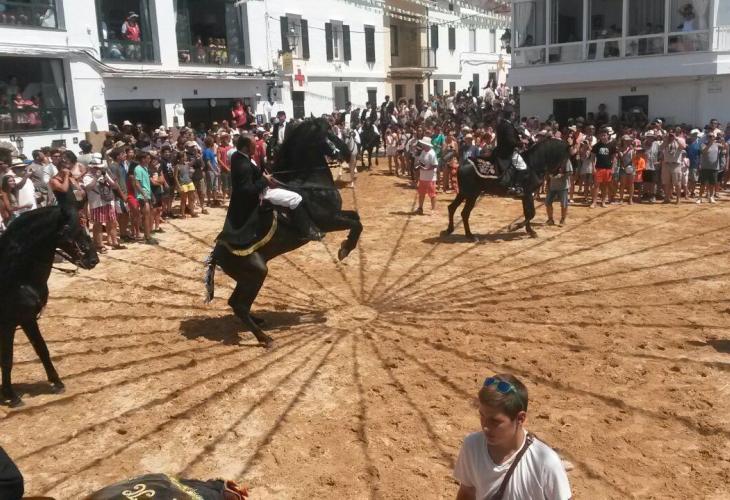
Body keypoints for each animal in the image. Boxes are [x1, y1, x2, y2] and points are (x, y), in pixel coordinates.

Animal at [0, 207, 98, 406]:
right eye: (69, 228)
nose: (94, 259)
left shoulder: (28, 319)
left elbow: (42, 349)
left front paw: (57, 382)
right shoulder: (10, 324)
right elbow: (7, 359)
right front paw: (11, 396)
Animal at [206, 118, 360, 348]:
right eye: (328, 133)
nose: (346, 153)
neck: (311, 183)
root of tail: (216, 254)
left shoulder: (336, 215)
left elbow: (357, 219)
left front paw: (345, 247)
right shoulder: (328, 221)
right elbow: (356, 225)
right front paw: (344, 249)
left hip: (247, 277)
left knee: (237, 303)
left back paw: (259, 321)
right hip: (256, 273)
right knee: (239, 305)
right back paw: (265, 338)